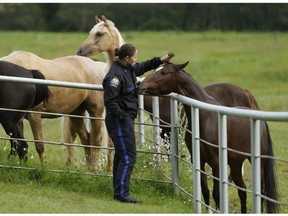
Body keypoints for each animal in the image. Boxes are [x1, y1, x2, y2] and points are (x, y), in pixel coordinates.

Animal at [138, 61, 278, 213]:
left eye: (164, 72)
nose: (141, 85)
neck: (205, 118)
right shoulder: (198, 160)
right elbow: (205, 190)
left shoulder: (216, 162)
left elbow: (216, 193)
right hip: (235, 163)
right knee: (242, 190)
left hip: (258, 162)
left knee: (261, 192)